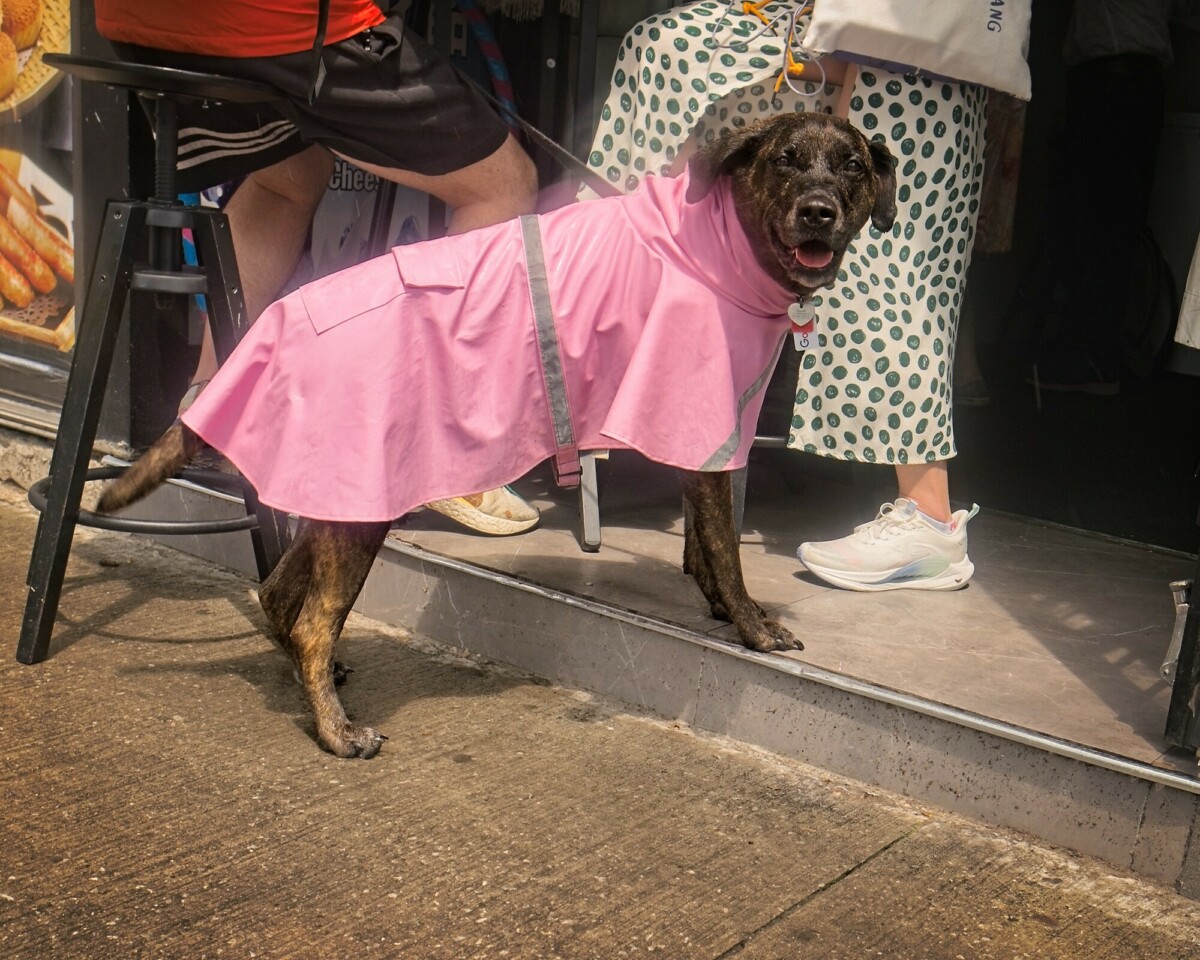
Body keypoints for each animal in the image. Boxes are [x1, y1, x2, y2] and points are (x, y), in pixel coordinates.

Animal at [98, 112, 897, 758]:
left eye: (852, 165)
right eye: (787, 159)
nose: (819, 212)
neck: (719, 241)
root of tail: (274, 325)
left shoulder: (696, 433)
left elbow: (704, 542)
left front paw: (720, 605)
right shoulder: (702, 425)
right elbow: (726, 548)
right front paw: (753, 626)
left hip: (340, 500)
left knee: (276, 594)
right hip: (365, 506)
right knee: (311, 623)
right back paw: (336, 730)